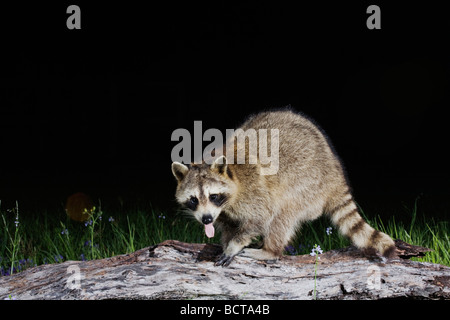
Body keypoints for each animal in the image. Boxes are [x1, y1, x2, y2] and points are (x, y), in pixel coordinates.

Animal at [171, 109, 396, 266]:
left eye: (214, 196)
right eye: (193, 199)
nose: (206, 219)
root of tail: (335, 174)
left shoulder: (254, 191)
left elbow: (261, 217)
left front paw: (234, 246)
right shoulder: (222, 213)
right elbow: (228, 227)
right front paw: (226, 242)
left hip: (307, 185)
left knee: (282, 214)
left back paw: (270, 251)